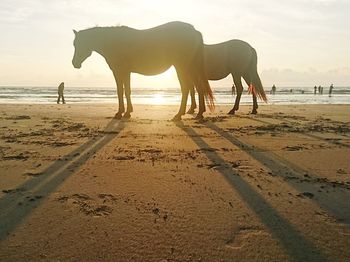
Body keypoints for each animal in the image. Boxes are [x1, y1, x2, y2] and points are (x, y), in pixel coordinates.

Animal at [71, 21, 213, 119]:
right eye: (74, 44)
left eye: (79, 43)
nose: (74, 63)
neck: (114, 42)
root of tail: (194, 31)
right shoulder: (122, 72)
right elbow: (123, 91)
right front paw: (125, 111)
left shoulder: (121, 71)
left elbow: (123, 91)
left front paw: (123, 113)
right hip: (190, 68)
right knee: (197, 88)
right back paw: (198, 112)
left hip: (182, 67)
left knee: (187, 88)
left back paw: (180, 115)